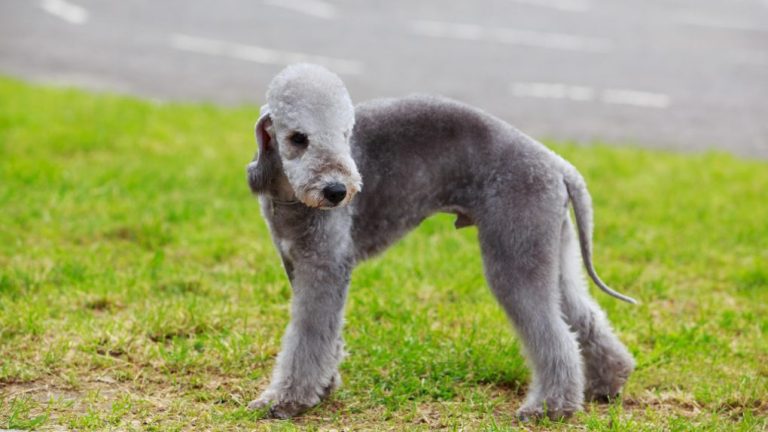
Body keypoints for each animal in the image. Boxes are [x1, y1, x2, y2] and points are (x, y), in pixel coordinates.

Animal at [248, 64, 636, 422]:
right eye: (298, 138)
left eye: (345, 135)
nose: (337, 192)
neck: (290, 196)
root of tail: (556, 163)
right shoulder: (298, 263)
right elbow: (326, 335)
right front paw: (324, 388)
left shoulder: (326, 265)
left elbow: (308, 335)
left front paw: (285, 401)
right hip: (550, 246)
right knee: (583, 316)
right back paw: (607, 382)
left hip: (516, 249)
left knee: (556, 335)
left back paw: (550, 407)